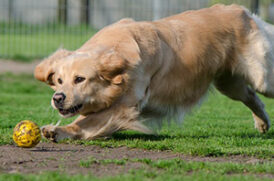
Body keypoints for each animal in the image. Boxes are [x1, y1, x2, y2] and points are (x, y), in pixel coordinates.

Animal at [35, 4, 272, 142]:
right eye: (59, 81)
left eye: (80, 79)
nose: (57, 98)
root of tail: (239, 9)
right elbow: (82, 122)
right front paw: (55, 131)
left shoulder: (124, 107)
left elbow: (84, 122)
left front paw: (60, 130)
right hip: (229, 83)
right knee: (251, 96)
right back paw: (262, 124)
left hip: (262, 79)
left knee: (260, 90)